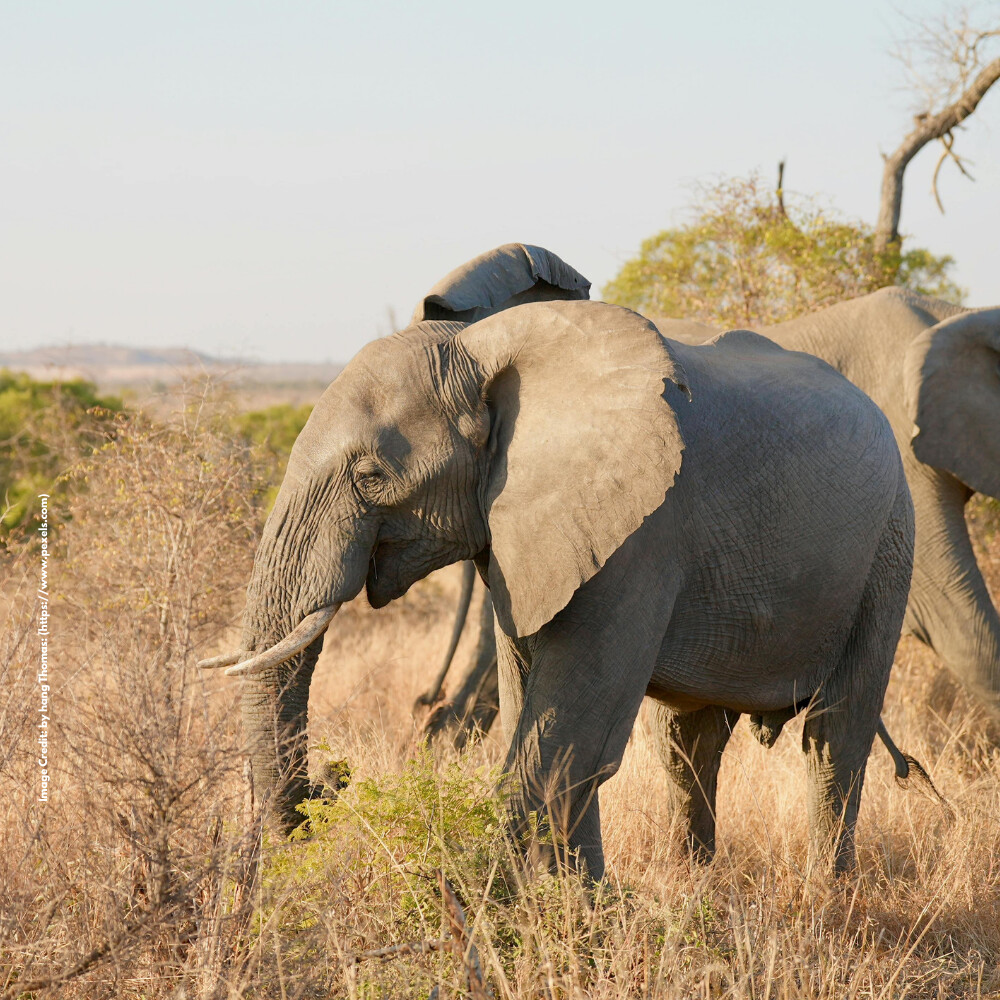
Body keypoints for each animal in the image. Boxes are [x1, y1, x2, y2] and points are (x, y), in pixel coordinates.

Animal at [203, 293, 917, 880]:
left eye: (372, 474)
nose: (334, 779)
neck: (479, 350)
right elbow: (540, 714)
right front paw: (582, 903)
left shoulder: (642, 533)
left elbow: (569, 741)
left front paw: (506, 911)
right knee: (689, 744)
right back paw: (698, 883)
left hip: (889, 544)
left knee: (833, 737)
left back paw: (827, 897)